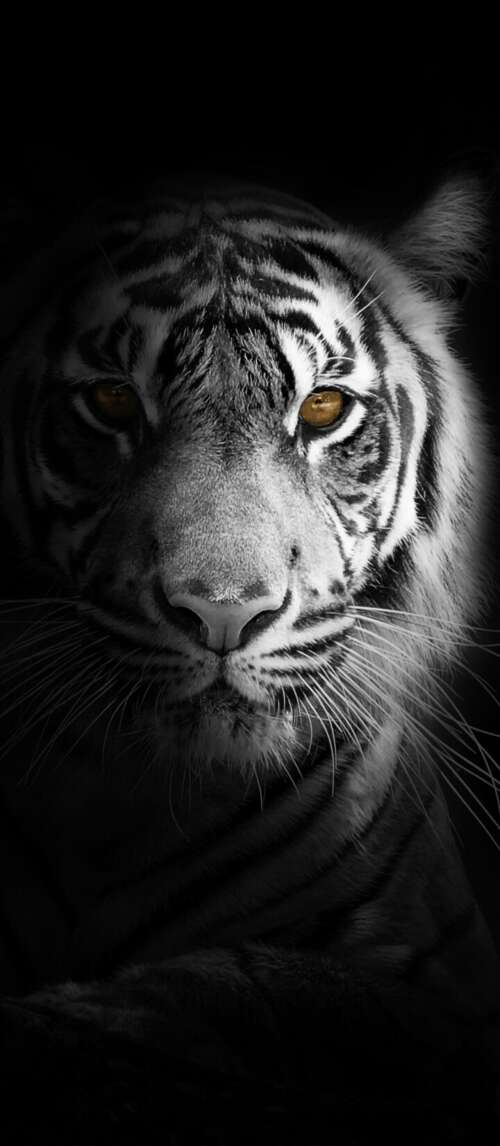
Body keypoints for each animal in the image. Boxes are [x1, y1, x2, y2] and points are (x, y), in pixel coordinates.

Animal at [0, 174, 499, 1143]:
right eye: (112, 402)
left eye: (322, 410)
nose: (224, 612)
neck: (130, 806)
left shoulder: (445, 984)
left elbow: (266, 988)